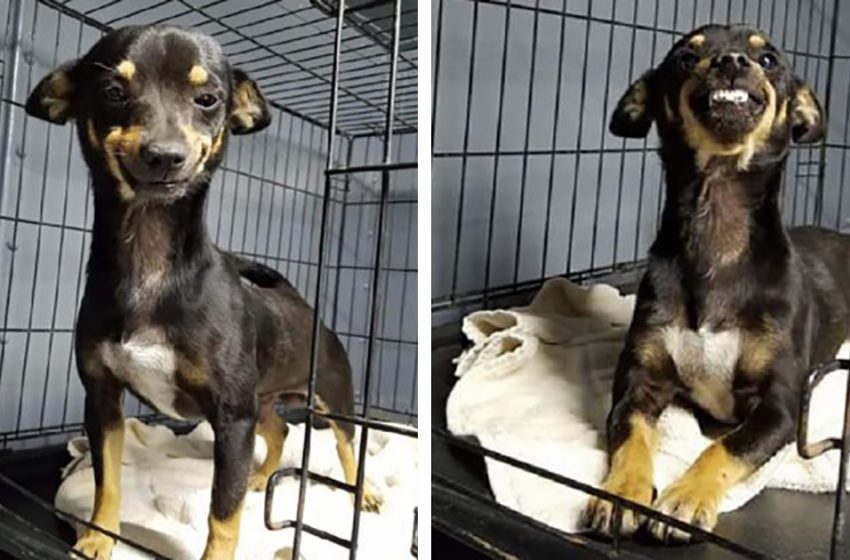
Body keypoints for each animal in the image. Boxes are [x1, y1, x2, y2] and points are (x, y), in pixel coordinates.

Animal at [24, 24, 380, 556]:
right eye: (112, 92)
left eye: (208, 99)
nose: (165, 155)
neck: (150, 256)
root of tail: (300, 303)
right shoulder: (103, 399)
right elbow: (108, 480)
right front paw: (99, 537)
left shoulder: (232, 419)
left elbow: (223, 514)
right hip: (262, 401)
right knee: (278, 430)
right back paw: (262, 478)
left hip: (332, 397)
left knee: (346, 445)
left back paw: (365, 492)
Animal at [584, 25, 848, 544]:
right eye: (687, 56)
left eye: (768, 59)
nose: (731, 61)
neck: (717, 224)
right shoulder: (638, 386)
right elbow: (630, 438)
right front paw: (621, 491)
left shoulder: (780, 408)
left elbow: (723, 448)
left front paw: (686, 496)